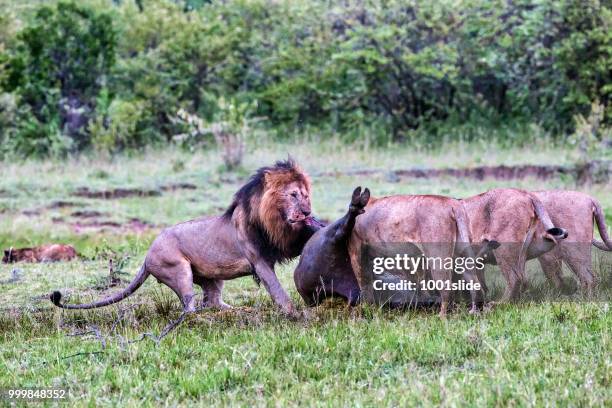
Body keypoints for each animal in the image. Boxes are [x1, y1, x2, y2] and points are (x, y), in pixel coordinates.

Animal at [51, 159, 326, 316]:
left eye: (306, 195)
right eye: (293, 195)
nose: (306, 211)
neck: (274, 218)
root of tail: (147, 255)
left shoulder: (281, 242)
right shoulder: (259, 259)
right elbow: (277, 289)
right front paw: (294, 313)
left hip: (213, 278)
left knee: (213, 302)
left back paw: (238, 311)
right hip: (178, 270)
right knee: (190, 309)